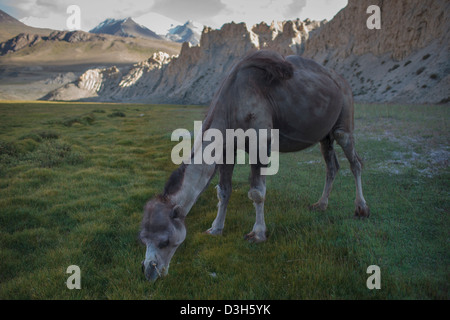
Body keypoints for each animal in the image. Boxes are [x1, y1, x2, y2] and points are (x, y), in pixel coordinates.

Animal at [140, 49, 370, 280]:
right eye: (142, 238)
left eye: (165, 241)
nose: (148, 270)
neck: (231, 101)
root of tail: (342, 82)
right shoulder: (227, 148)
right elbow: (223, 191)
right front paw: (215, 229)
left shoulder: (260, 142)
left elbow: (257, 192)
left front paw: (258, 234)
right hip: (324, 134)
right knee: (331, 165)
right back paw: (320, 205)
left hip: (344, 119)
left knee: (355, 161)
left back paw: (361, 208)